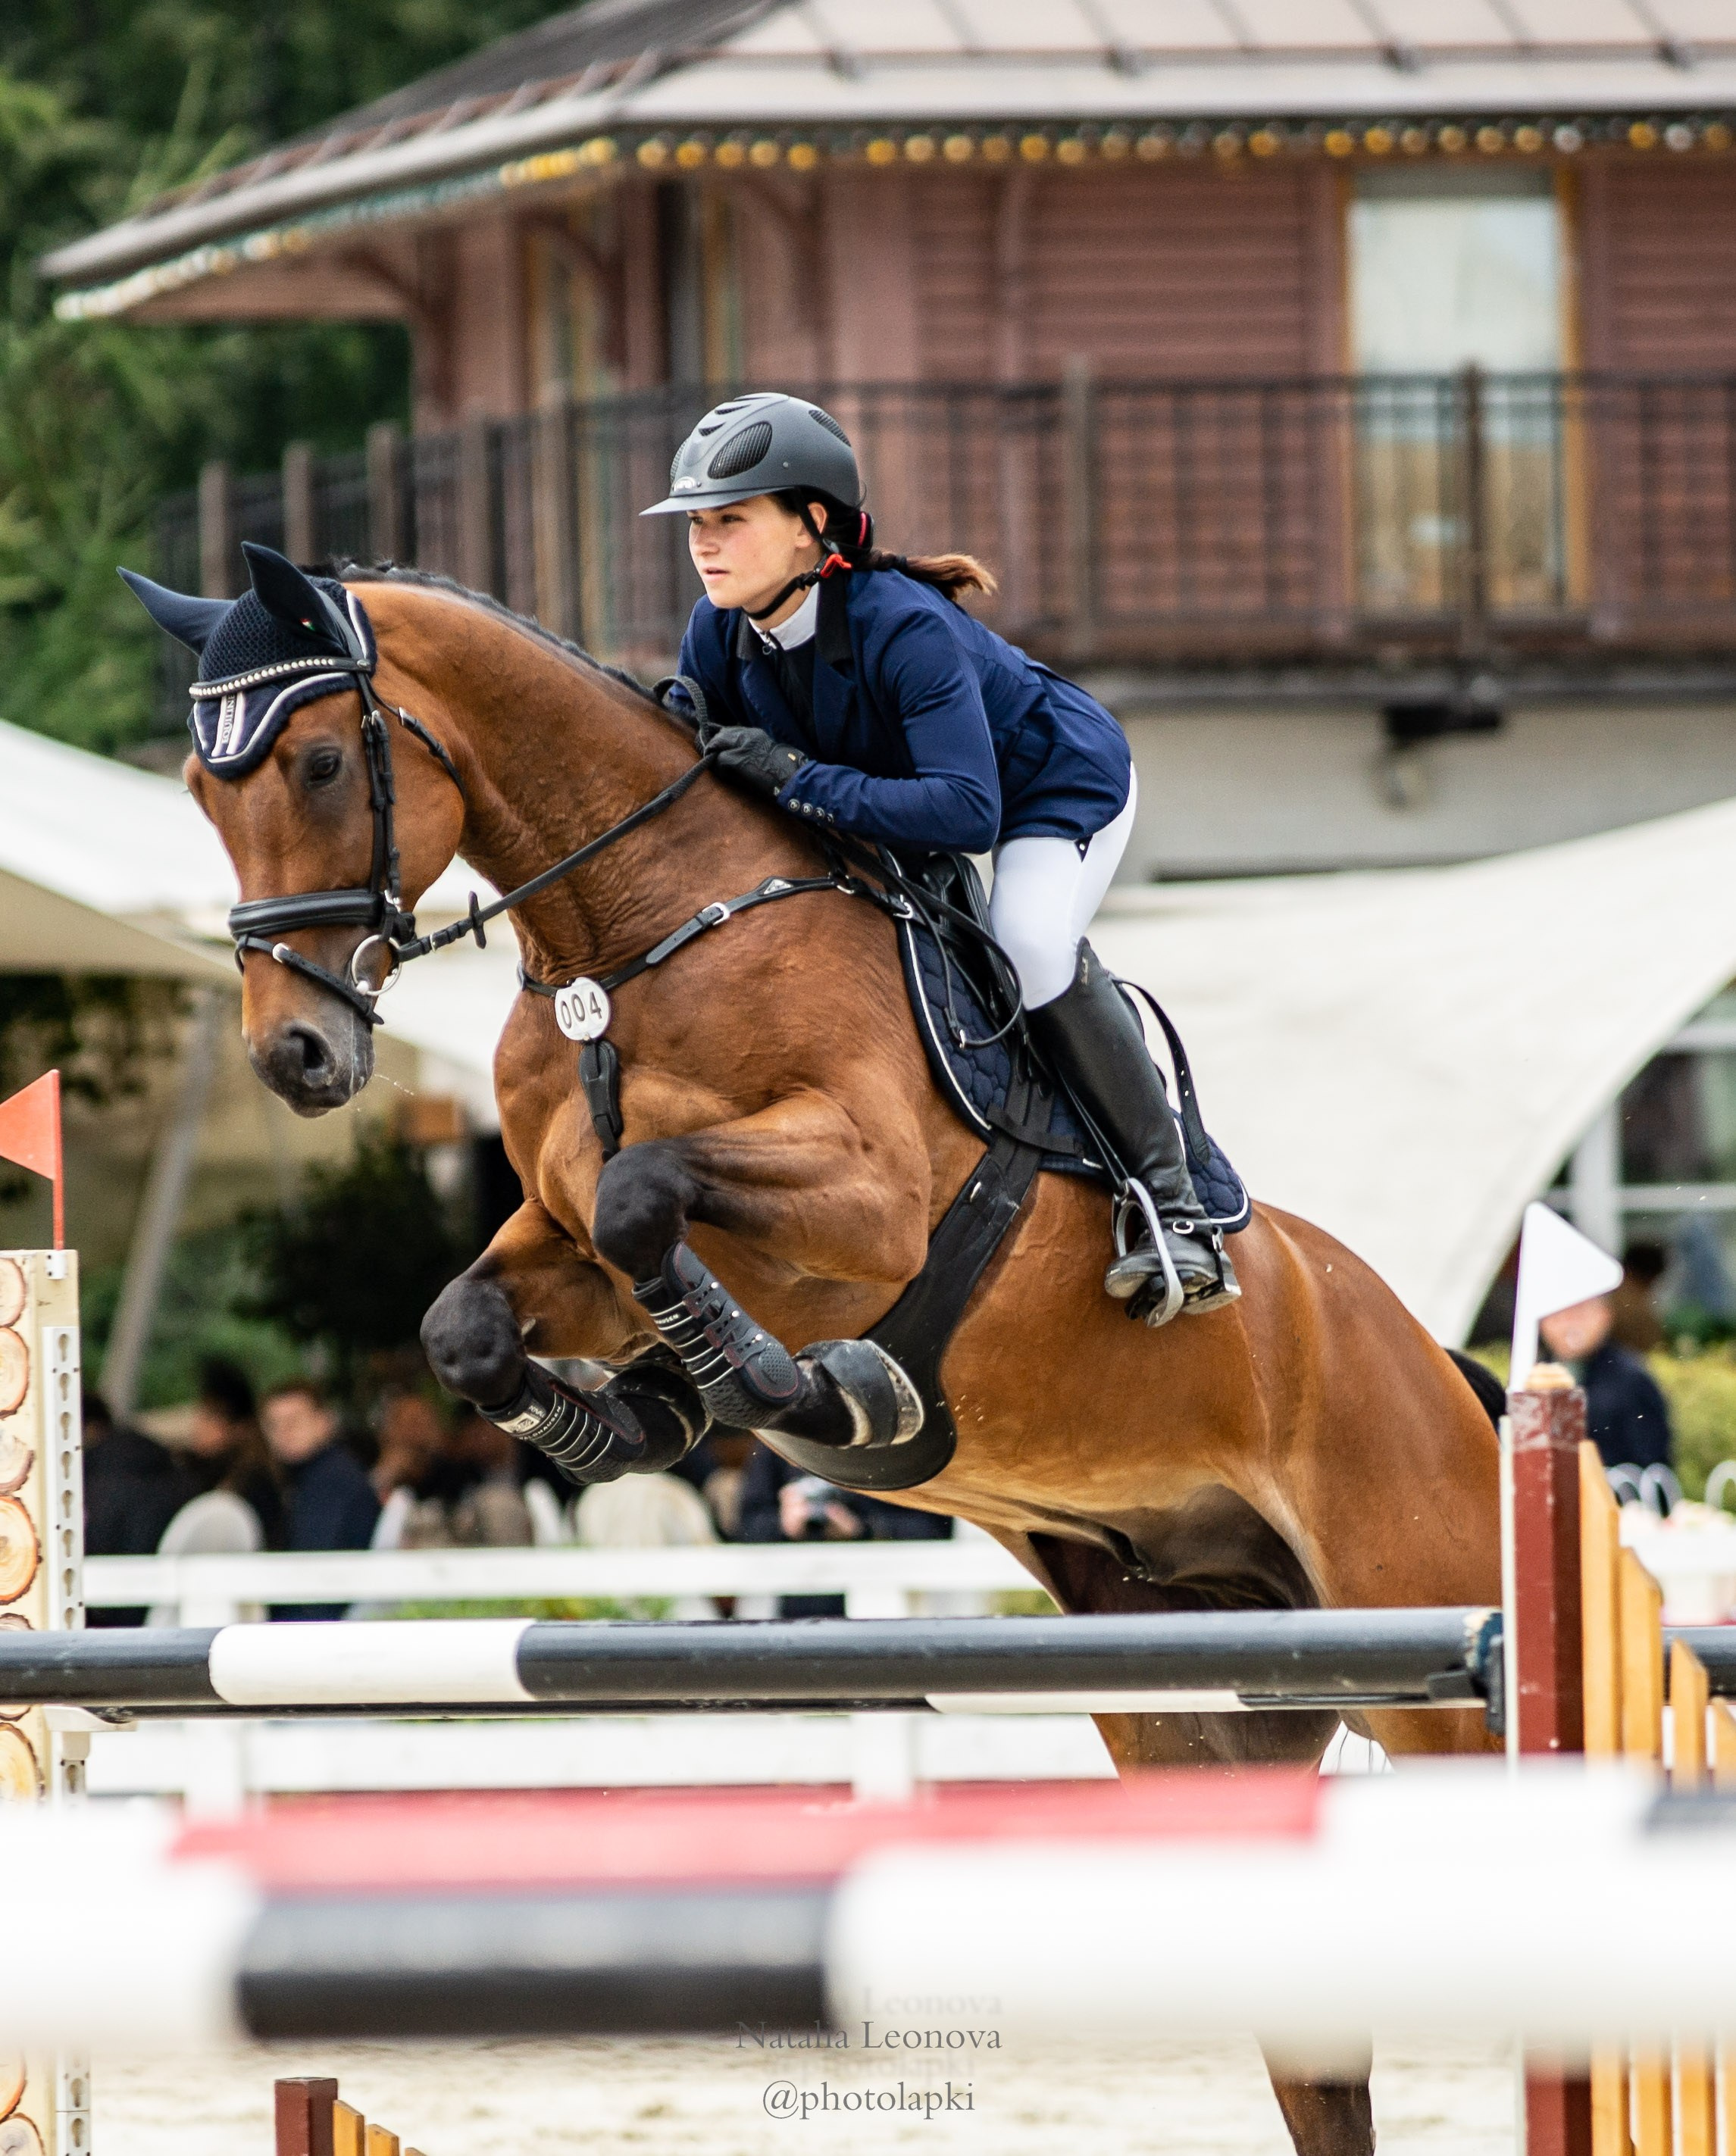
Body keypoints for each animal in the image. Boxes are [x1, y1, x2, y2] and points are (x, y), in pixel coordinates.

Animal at [171, 555, 1501, 2156]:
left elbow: (652, 1194)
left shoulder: (859, 1199)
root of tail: (1448, 1374)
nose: (295, 1057)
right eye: (201, 784)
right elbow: (479, 1318)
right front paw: (630, 1418)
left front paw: (803, 1391)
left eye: (315, 762)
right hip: (1203, 1708)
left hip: (1433, 1639)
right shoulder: (559, 1243)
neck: (629, 943)